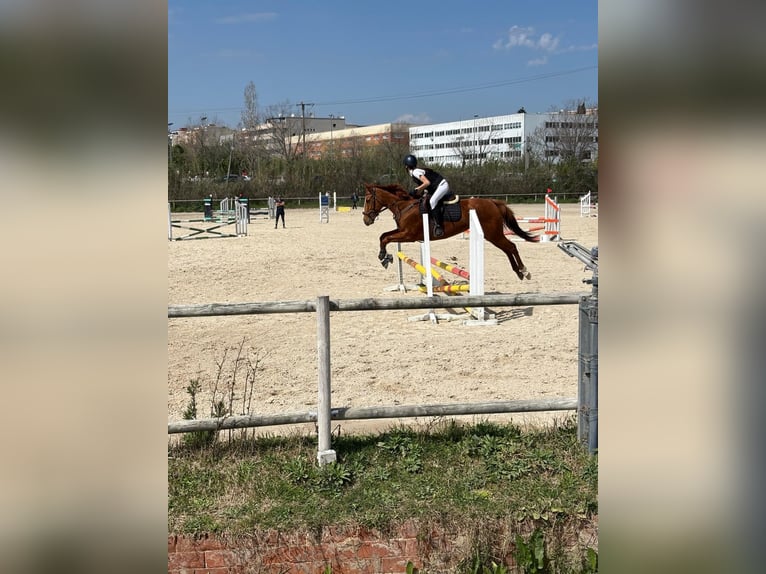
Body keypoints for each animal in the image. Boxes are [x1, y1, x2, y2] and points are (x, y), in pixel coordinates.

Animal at [362, 183, 538, 281]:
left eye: (368, 199)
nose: (366, 220)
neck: (404, 206)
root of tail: (493, 202)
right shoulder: (402, 231)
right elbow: (383, 236)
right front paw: (385, 256)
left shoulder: (408, 235)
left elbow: (386, 238)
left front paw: (383, 257)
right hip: (493, 235)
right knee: (507, 248)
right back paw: (519, 272)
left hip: (493, 234)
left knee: (511, 247)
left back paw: (525, 271)